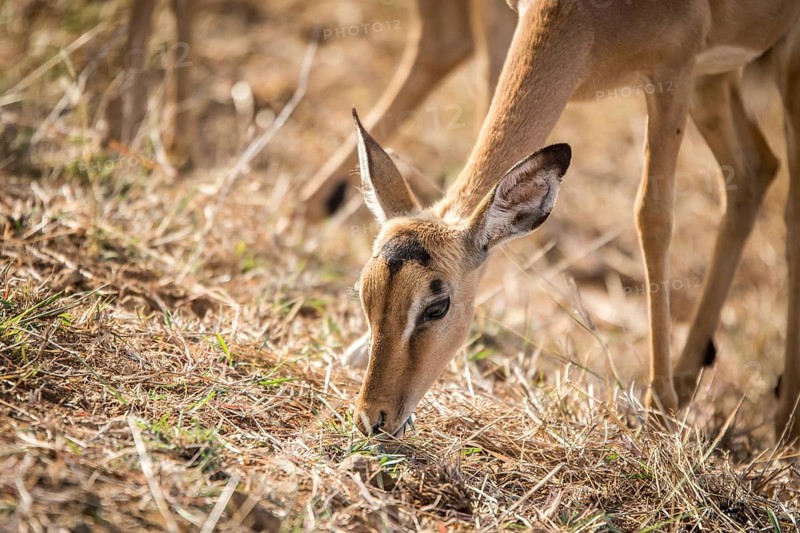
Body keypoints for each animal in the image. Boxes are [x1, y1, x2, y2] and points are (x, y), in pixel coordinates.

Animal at [344, 0, 800, 440]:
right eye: (365, 292)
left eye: (437, 307)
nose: (373, 418)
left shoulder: (673, 74)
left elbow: (653, 216)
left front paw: (659, 413)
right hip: (716, 79)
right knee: (755, 170)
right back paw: (693, 382)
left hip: (773, 62)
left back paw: (784, 424)